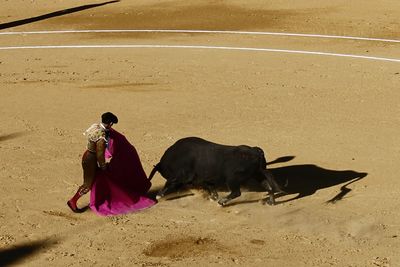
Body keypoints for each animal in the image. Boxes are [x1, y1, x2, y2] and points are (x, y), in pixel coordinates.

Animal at [148, 137, 282, 206]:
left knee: (236, 192)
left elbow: (170, 183)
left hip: (232, 179)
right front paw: (213, 196)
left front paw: (158, 195)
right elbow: (210, 186)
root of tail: (256, 151)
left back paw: (222, 202)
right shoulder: (204, 178)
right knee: (269, 186)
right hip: (258, 174)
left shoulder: (181, 176)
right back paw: (271, 202)